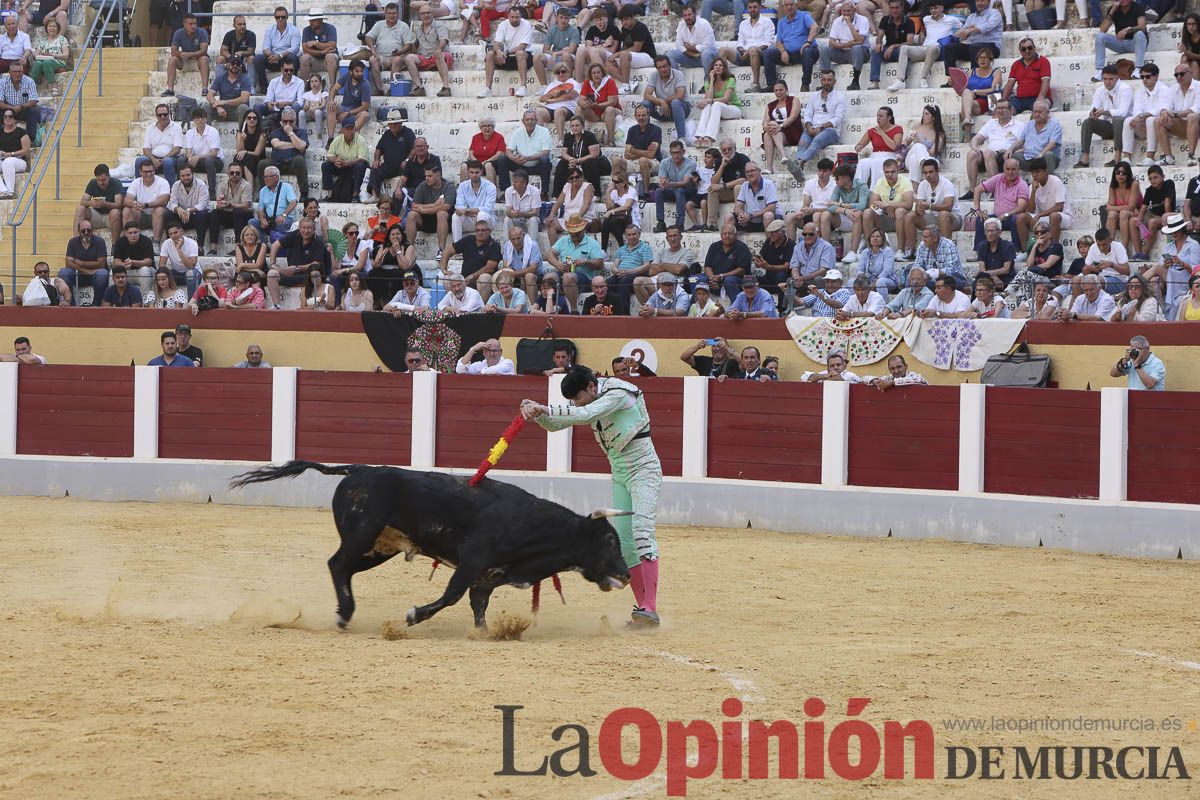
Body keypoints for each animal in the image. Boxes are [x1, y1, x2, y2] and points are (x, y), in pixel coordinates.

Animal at [228, 462, 633, 633]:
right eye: (610, 540)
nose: (627, 575)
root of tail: (359, 470)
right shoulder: (471, 563)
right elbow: (452, 596)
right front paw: (413, 615)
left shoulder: (488, 576)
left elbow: (478, 606)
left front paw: (484, 633)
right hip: (362, 536)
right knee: (337, 564)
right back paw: (344, 615)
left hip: (379, 549)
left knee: (342, 567)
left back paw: (345, 612)